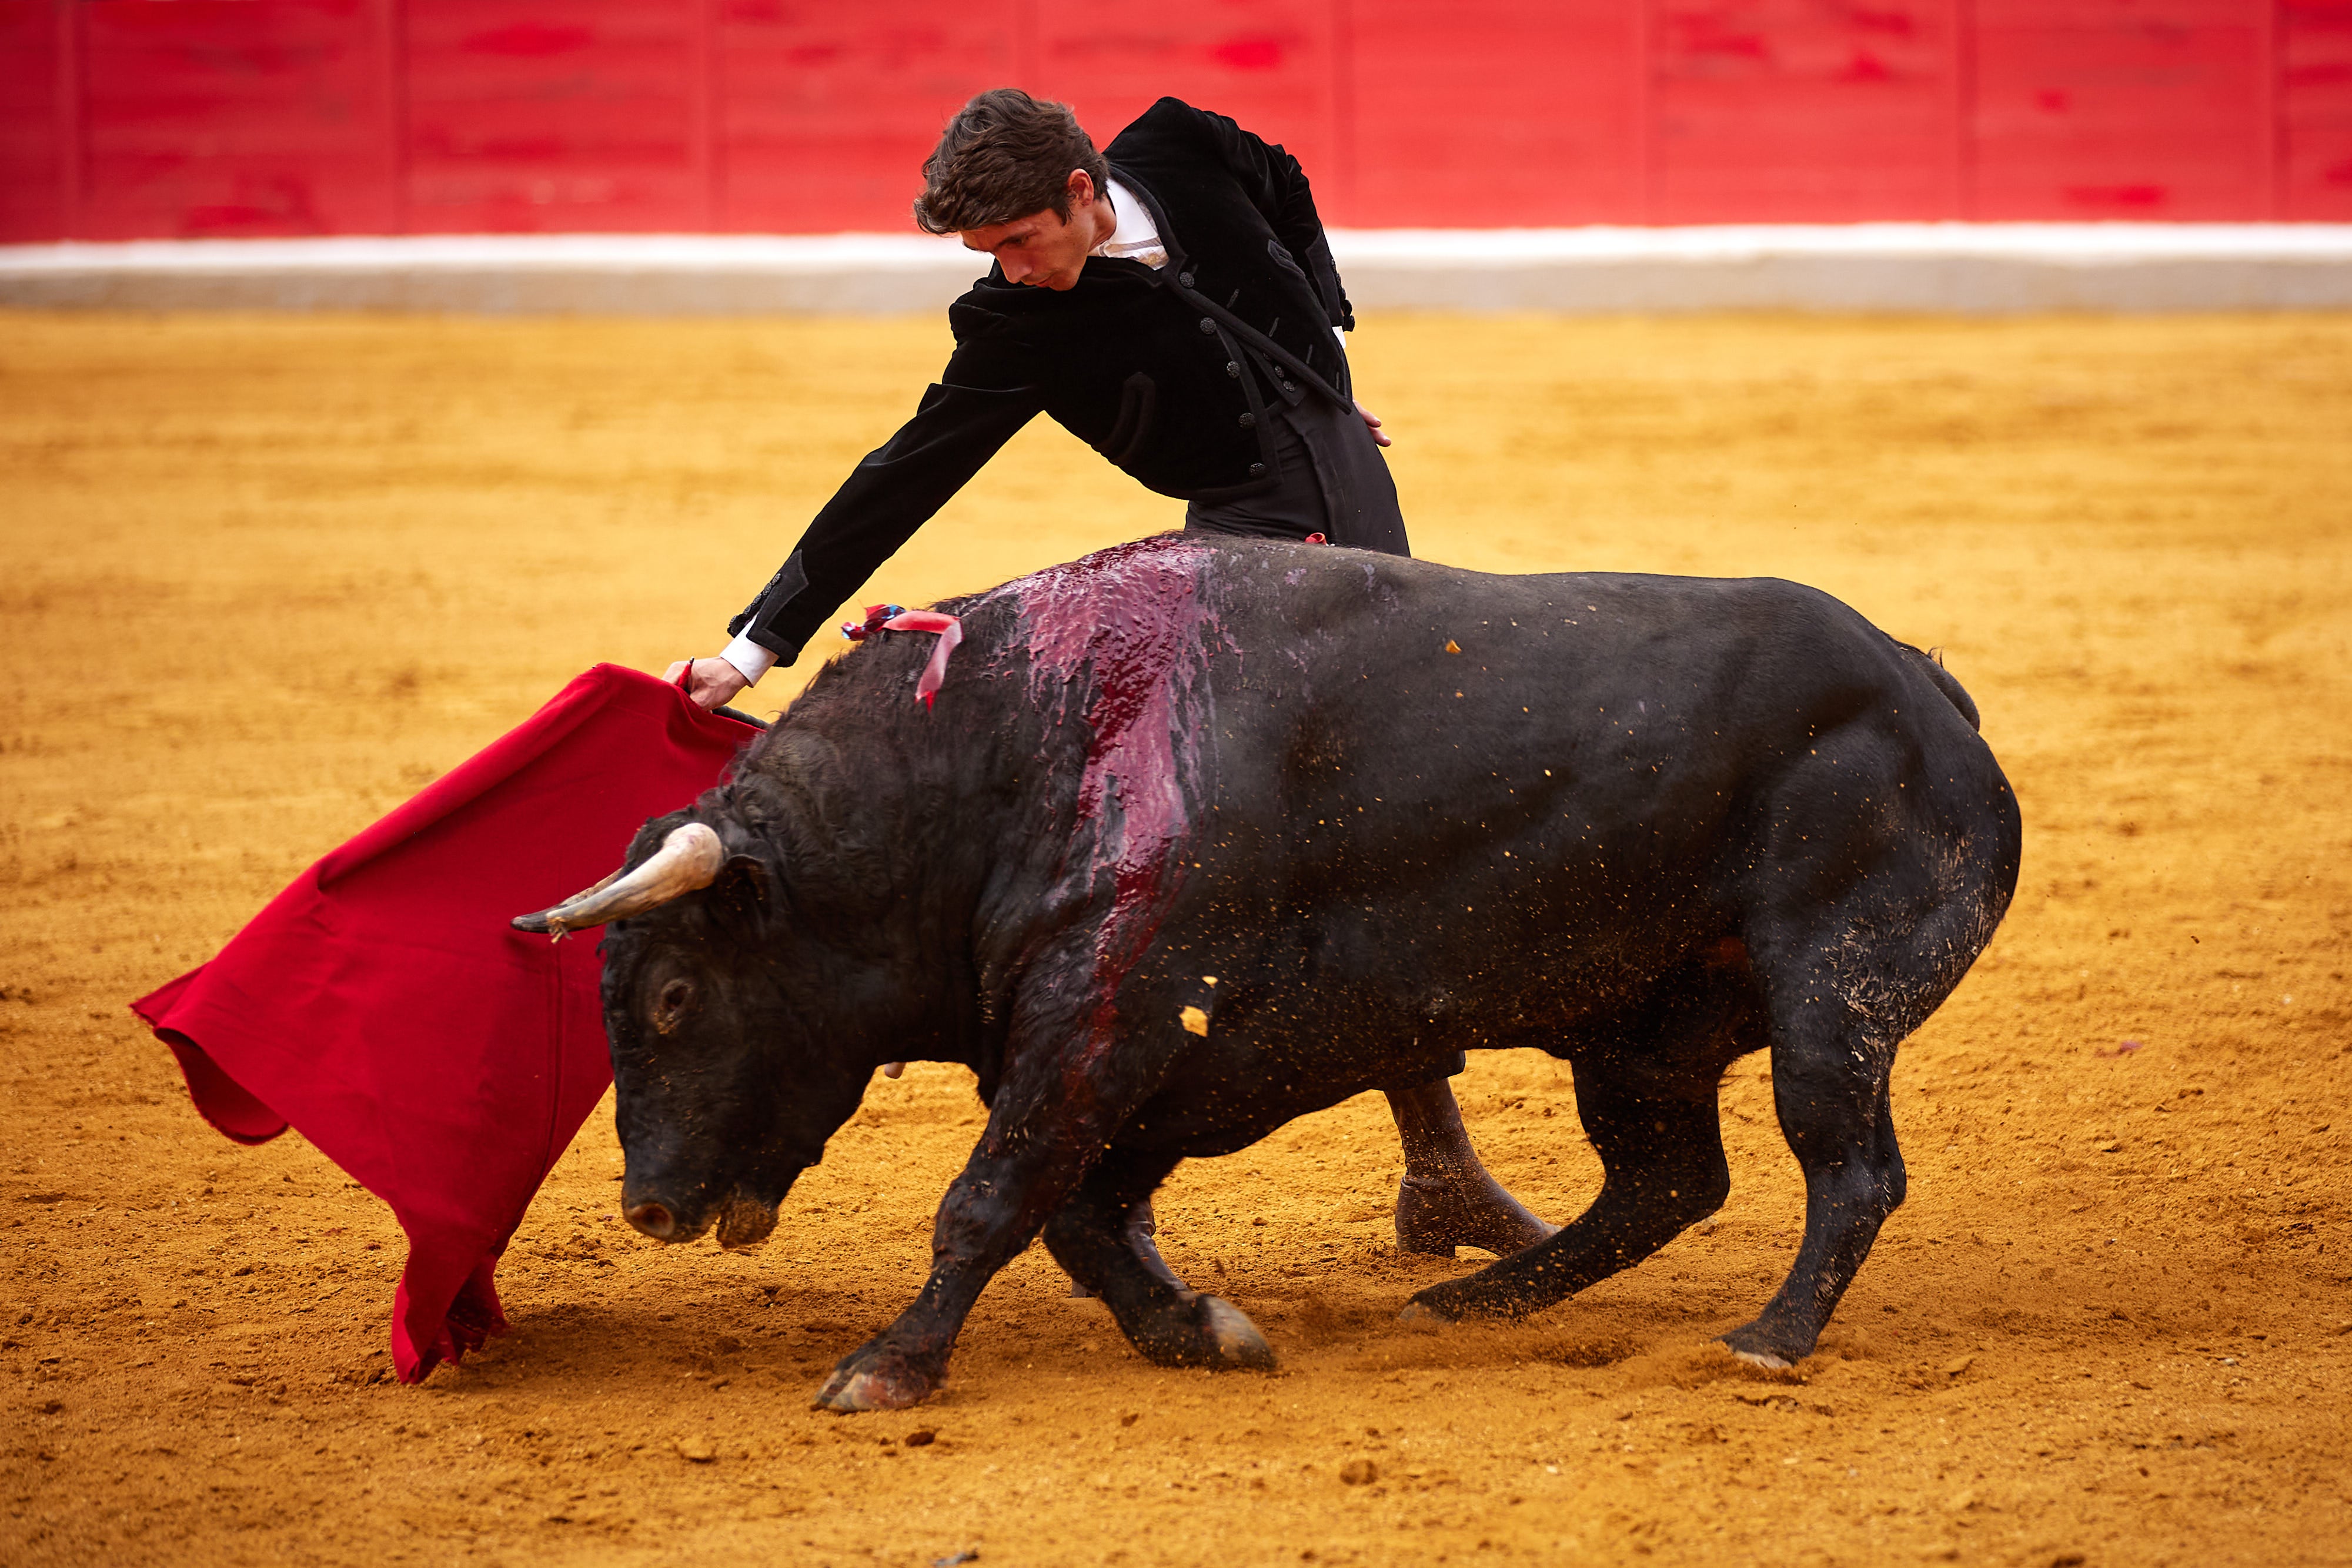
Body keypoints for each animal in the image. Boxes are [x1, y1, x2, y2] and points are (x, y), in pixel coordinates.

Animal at [520, 533, 2023, 1420]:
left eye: (670, 998)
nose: (647, 1205)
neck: (1017, 750)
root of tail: (1923, 683)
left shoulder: (1106, 1018)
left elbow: (991, 1200)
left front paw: (885, 1368)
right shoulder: (1147, 1060)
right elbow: (1078, 1217)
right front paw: (1200, 1329)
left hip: (1833, 991)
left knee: (1845, 1168)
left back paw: (1767, 1337)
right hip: (1639, 1029)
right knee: (1665, 1179)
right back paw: (1463, 1301)